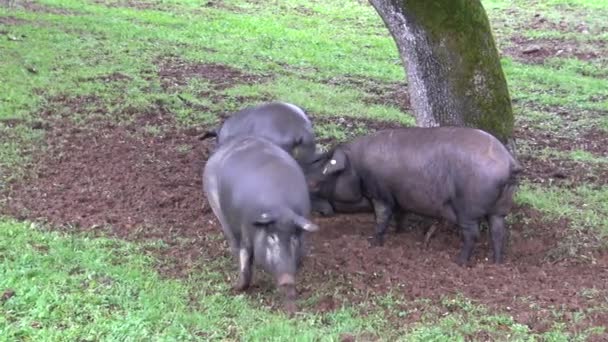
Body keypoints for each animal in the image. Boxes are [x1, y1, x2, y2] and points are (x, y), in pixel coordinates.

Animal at [203, 134, 318, 312]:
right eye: (271, 237)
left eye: (293, 238)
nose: (286, 278)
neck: (281, 209)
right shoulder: (245, 231)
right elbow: (245, 260)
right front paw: (237, 288)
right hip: (217, 208)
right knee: (233, 241)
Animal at [308, 127, 524, 266]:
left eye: (316, 183)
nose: (314, 208)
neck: (357, 166)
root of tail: (509, 163)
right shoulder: (400, 197)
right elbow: (400, 215)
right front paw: (399, 233)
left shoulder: (381, 193)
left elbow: (382, 217)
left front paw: (372, 243)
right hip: (500, 208)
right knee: (498, 232)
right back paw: (496, 263)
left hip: (468, 208)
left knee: (473, 234)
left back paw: (460, 262)